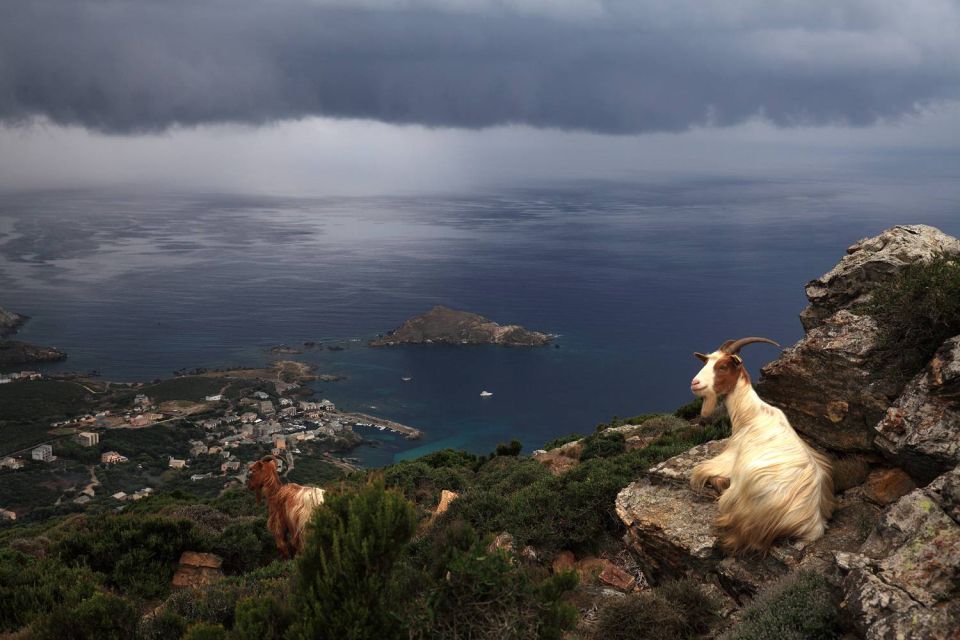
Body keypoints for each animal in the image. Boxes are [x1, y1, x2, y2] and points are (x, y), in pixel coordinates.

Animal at [688, 338, 832, 552]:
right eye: (706, 362)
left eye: (722, 366)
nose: (695, 383)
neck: (750, 415)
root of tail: (812, 525)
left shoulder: (729, 458)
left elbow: (702, 470)